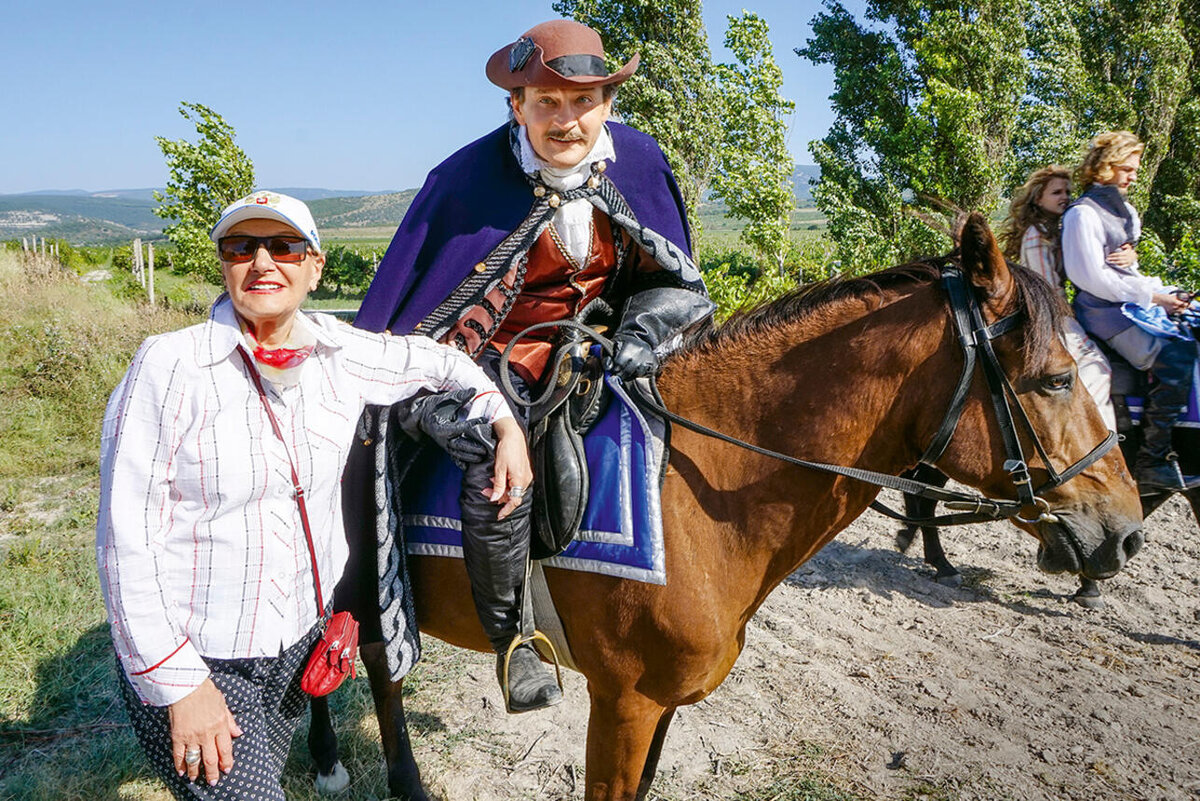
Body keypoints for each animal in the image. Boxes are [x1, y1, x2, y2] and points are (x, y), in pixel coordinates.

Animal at [309, 214, 1142, 801]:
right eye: (1058, 379)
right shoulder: (625, 703)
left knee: (362, 656)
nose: (1126, 530)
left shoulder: (661, 705)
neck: (696, 482)